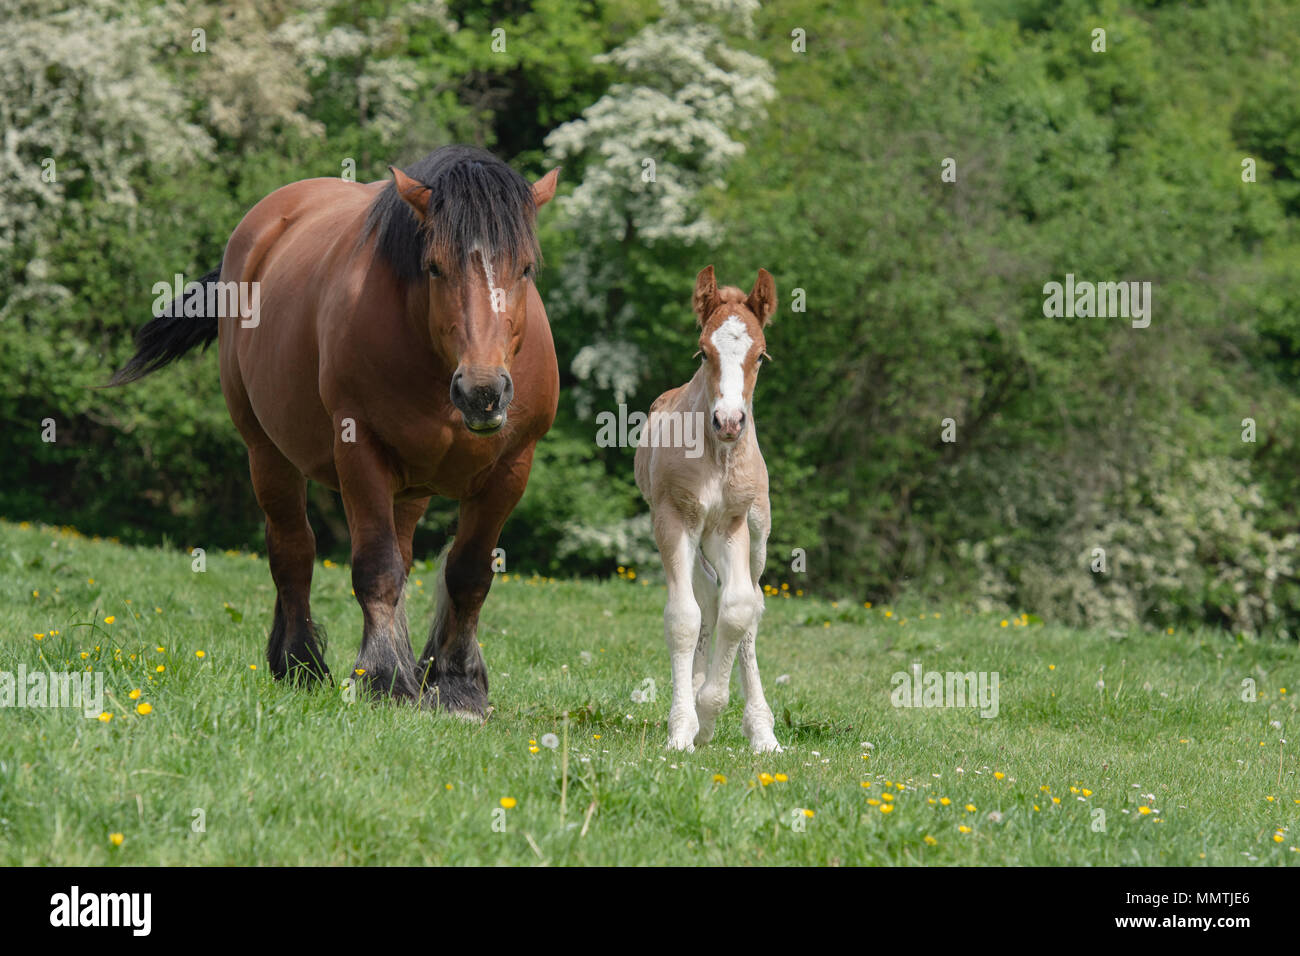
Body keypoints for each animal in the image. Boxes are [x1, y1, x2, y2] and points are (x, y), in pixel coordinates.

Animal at [111, 147, 559, 717]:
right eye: (434, 267)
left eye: (524, 268)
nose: (483, 390)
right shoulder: (359, 450)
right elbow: (376, 568)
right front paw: (383, 679)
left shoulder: (511, 467)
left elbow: (468, 574)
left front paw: (456, 685)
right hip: (266, 453)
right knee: (293, 550)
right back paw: (299, 663)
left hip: (410, 488)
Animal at [631, 265, 774, 749]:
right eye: (703, 352)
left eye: (761, 356)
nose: (728, 422)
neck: (716, 456)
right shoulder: (674, 520)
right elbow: (684, 617)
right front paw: (684, 726)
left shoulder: (731, 524)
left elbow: (738, 609)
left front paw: (711, 711)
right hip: (692, 540)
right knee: (706, 594)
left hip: (757, 535)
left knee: (750, 602)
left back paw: (762, 729)